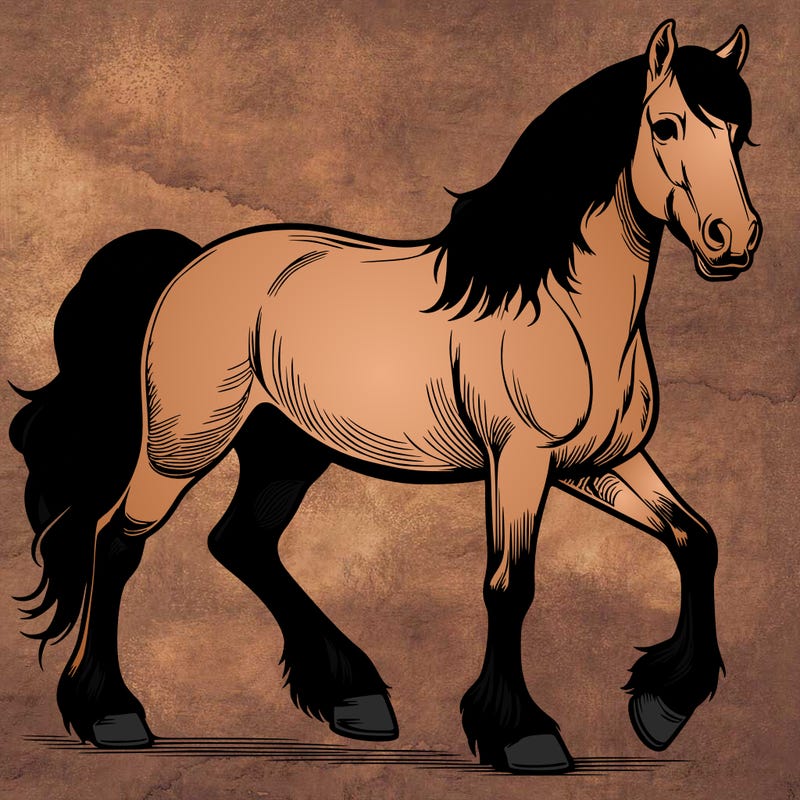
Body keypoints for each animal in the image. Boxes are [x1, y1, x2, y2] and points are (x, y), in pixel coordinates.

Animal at [10, 20, 760, 773]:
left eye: (738, 132)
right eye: (665, 125)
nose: (735, 239)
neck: (561, 308)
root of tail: (189, 263)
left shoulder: (599, 463)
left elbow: (697, 539)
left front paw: (662, 707)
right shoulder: (520, 460)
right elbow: (509, 585)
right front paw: (523, 734)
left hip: (287, 450)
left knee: (241, 541)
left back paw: (355, 697)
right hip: (183, 444)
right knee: (116, 540)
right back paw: (112, 715)